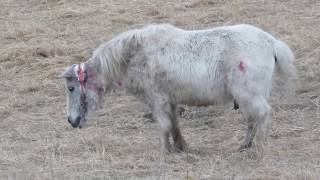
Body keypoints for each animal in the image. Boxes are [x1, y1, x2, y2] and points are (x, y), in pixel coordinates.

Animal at [61, 23, 296, 153]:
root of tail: (270, 42)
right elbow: (174, 124)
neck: (133, 56)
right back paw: (244, 145)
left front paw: (163, 151)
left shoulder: (157, 100)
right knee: (253, 119)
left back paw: (259, 149)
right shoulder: (170, 100)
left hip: (249, 95)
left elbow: (163, 125)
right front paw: (180, 147)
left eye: (71, 88)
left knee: (263, 116)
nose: (71, 121)